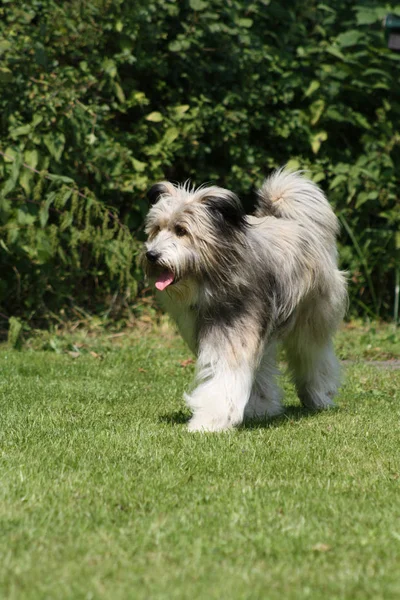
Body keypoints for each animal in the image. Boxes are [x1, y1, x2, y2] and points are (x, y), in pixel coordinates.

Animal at [143, 169, 346, 432]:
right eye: (157, 229)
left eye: (181, 230)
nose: (151, 255)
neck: (214, 282)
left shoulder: (234, 333)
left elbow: (224, 379)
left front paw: (209, 421)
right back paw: (261, 406)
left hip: (310, 321)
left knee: (313, 355)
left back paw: (319, 397)